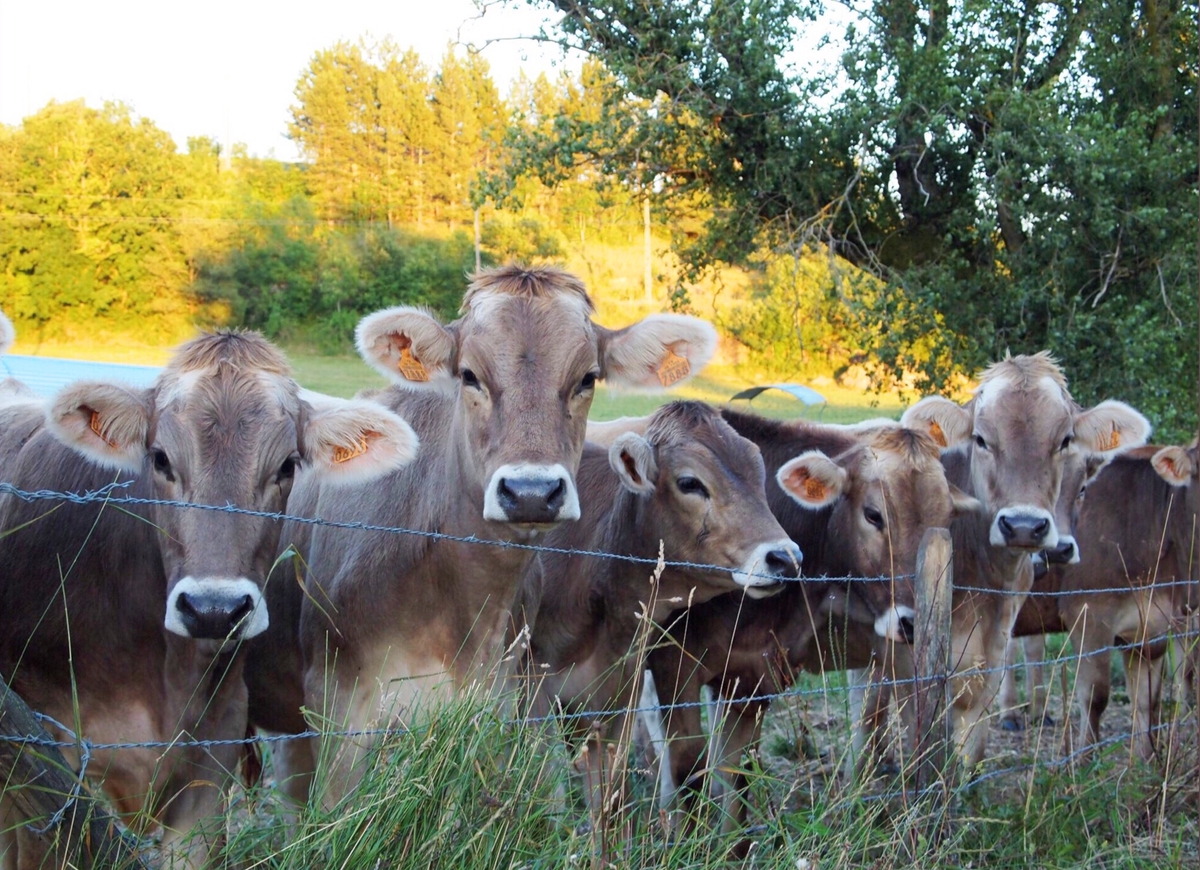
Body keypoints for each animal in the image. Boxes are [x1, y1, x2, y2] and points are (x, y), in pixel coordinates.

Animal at [523, 400, 796, 830]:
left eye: (758, 473)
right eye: (689, 483)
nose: (785, 557)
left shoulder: (619, 693)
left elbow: (610, 804)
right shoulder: (528, 690)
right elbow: (548, 798)